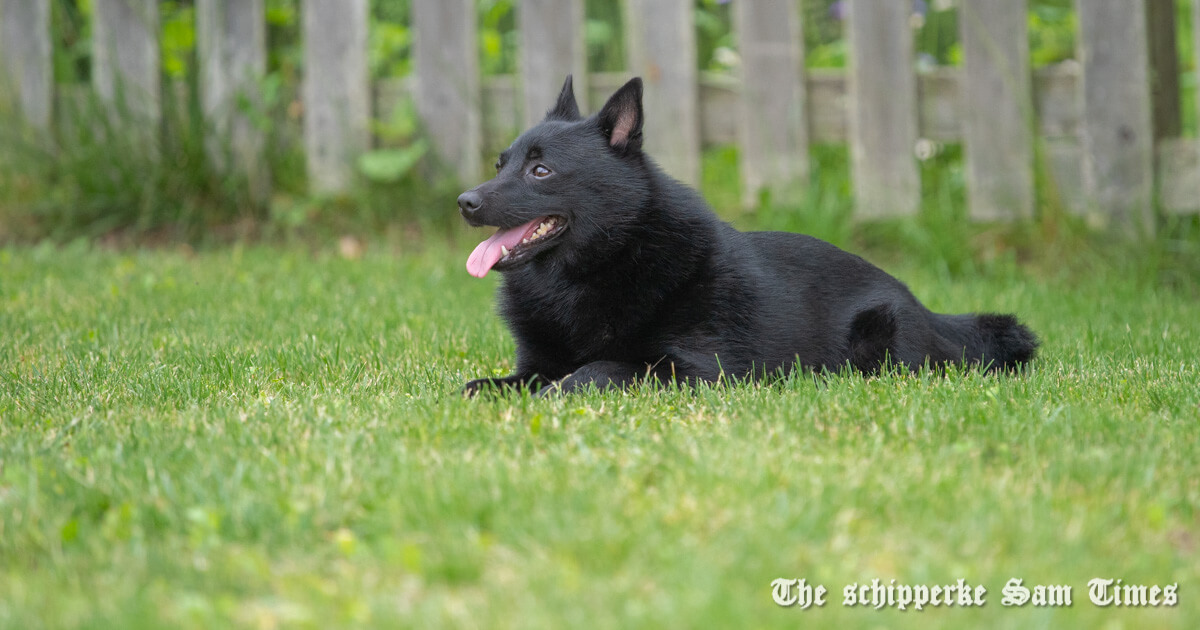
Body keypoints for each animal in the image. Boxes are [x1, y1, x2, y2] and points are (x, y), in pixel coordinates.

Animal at [453, 76, 1036, 393]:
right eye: (501, 163)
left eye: (541, 171)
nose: (465, 202)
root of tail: (929, 311)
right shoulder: (535, 365)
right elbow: (496, 383)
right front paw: (487, 391)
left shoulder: (693, 370)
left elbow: (598, 368)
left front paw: (562, 391)